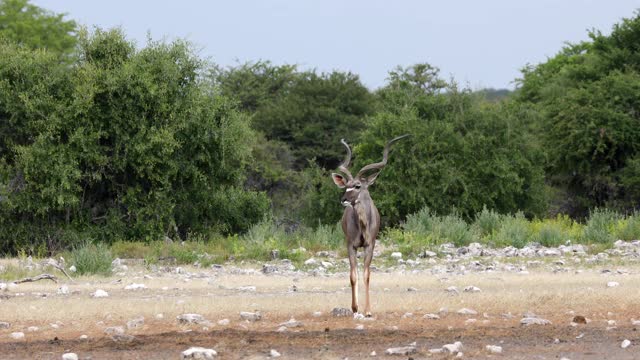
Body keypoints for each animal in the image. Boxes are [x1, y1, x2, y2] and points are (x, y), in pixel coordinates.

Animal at [330, 134, 410, 316]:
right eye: (346, 185)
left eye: (358, 185)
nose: (344, 200)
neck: (363, 224)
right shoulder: (350, 245)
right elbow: (353, 275)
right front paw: (355, 308)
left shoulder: (370, 245)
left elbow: (366, 274)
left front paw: (367, 310)